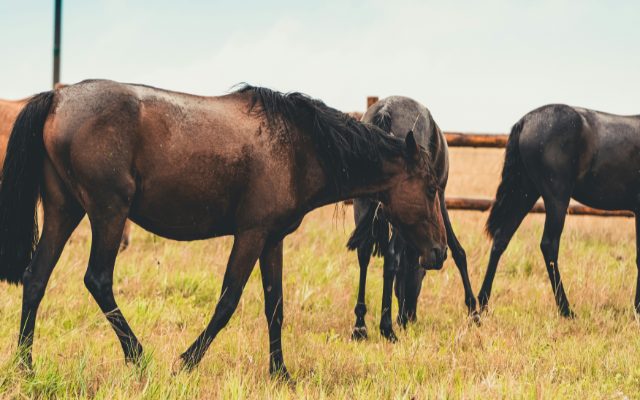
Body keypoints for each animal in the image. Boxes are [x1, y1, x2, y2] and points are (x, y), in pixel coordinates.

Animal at [347, 96, 477, 341]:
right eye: (423, 276)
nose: (408, 316)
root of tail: (386, 110)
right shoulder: (439, 200)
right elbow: (458, 251)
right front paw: (474, 311)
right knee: (391, 257)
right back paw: (386, 327)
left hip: (363, 203)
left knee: (364, 253)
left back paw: (360, 325)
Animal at [478, 104, 640, 318]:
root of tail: (526, 121)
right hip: (557, 198)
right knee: (549, 245)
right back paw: (566, 310)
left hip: (524, 193)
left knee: (501, 239)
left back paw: (481, 305)